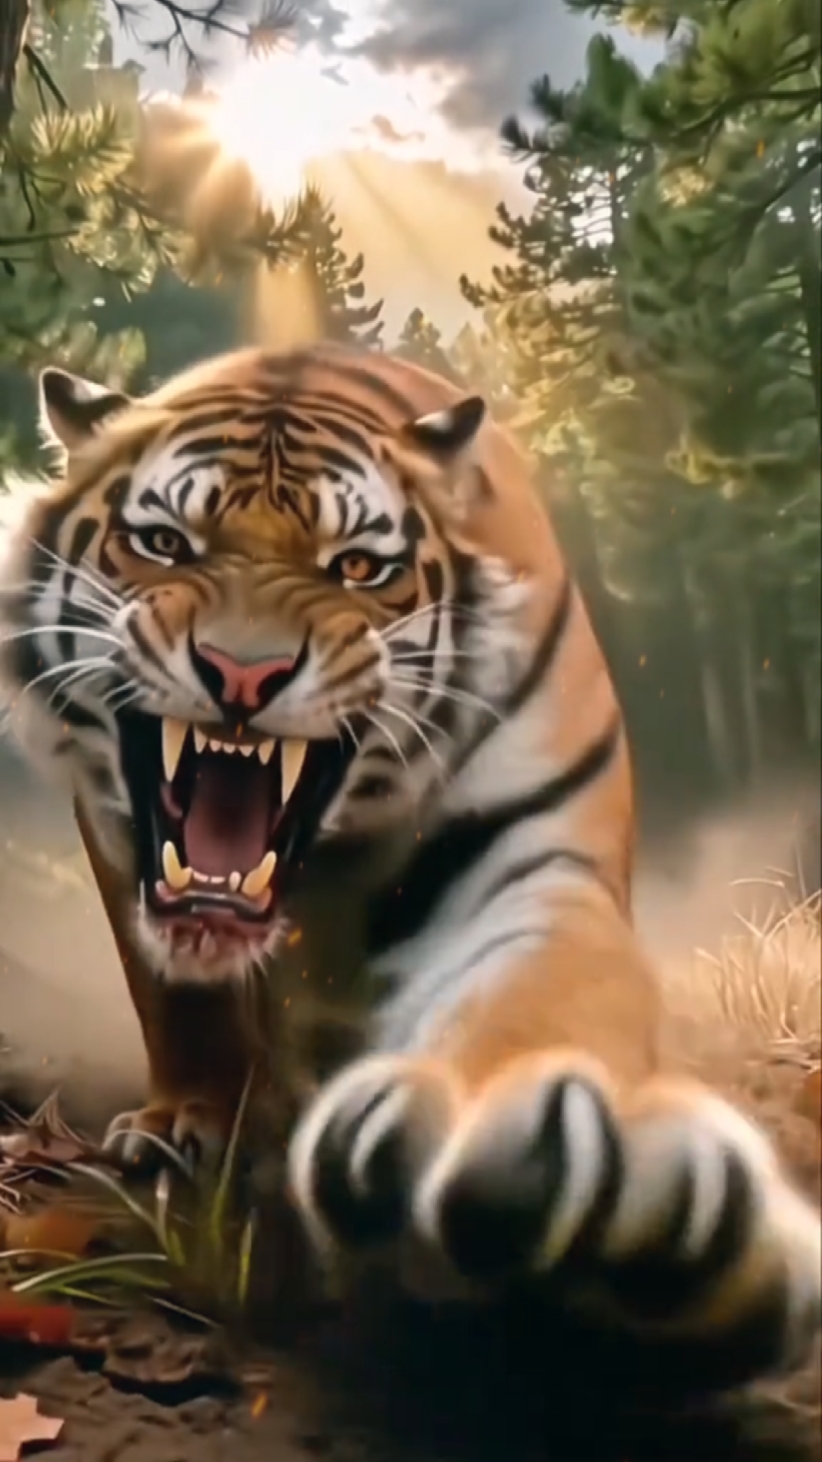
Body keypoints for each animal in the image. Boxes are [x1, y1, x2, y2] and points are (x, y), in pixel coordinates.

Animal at [0, 343, 818, 1385]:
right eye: (166, 544)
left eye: (356, 567)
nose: (242, 675)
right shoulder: (120, 840)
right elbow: (179, 993)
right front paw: (191, 1124)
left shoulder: (535, 859)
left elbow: (537, 1001)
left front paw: (522, 1156)